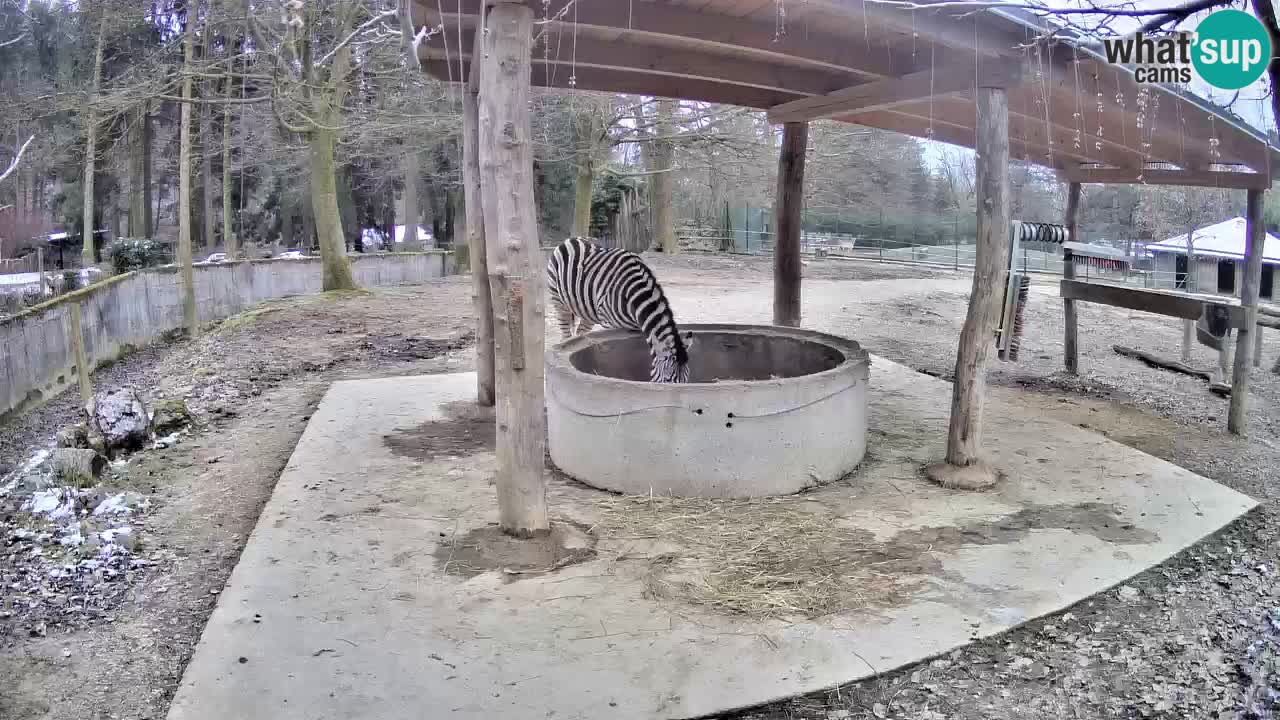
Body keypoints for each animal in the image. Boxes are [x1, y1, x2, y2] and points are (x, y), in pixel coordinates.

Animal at [545, 235, 696, 381]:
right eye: (667, 379)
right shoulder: (609, 324)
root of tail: (571, 239)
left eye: (685, 379)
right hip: (559, 301)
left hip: (588, 310)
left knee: (581, 332)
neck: (634, 297)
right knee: (566, 333)